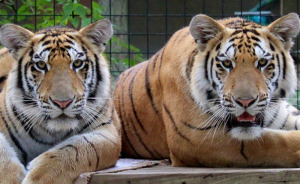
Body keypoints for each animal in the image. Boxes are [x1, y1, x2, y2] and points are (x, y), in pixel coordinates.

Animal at [0, 19, 120, 184]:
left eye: (77, 63)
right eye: (41, 65)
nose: (63, 103)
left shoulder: (108, 132)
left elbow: (74, 149)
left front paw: (39, 177)